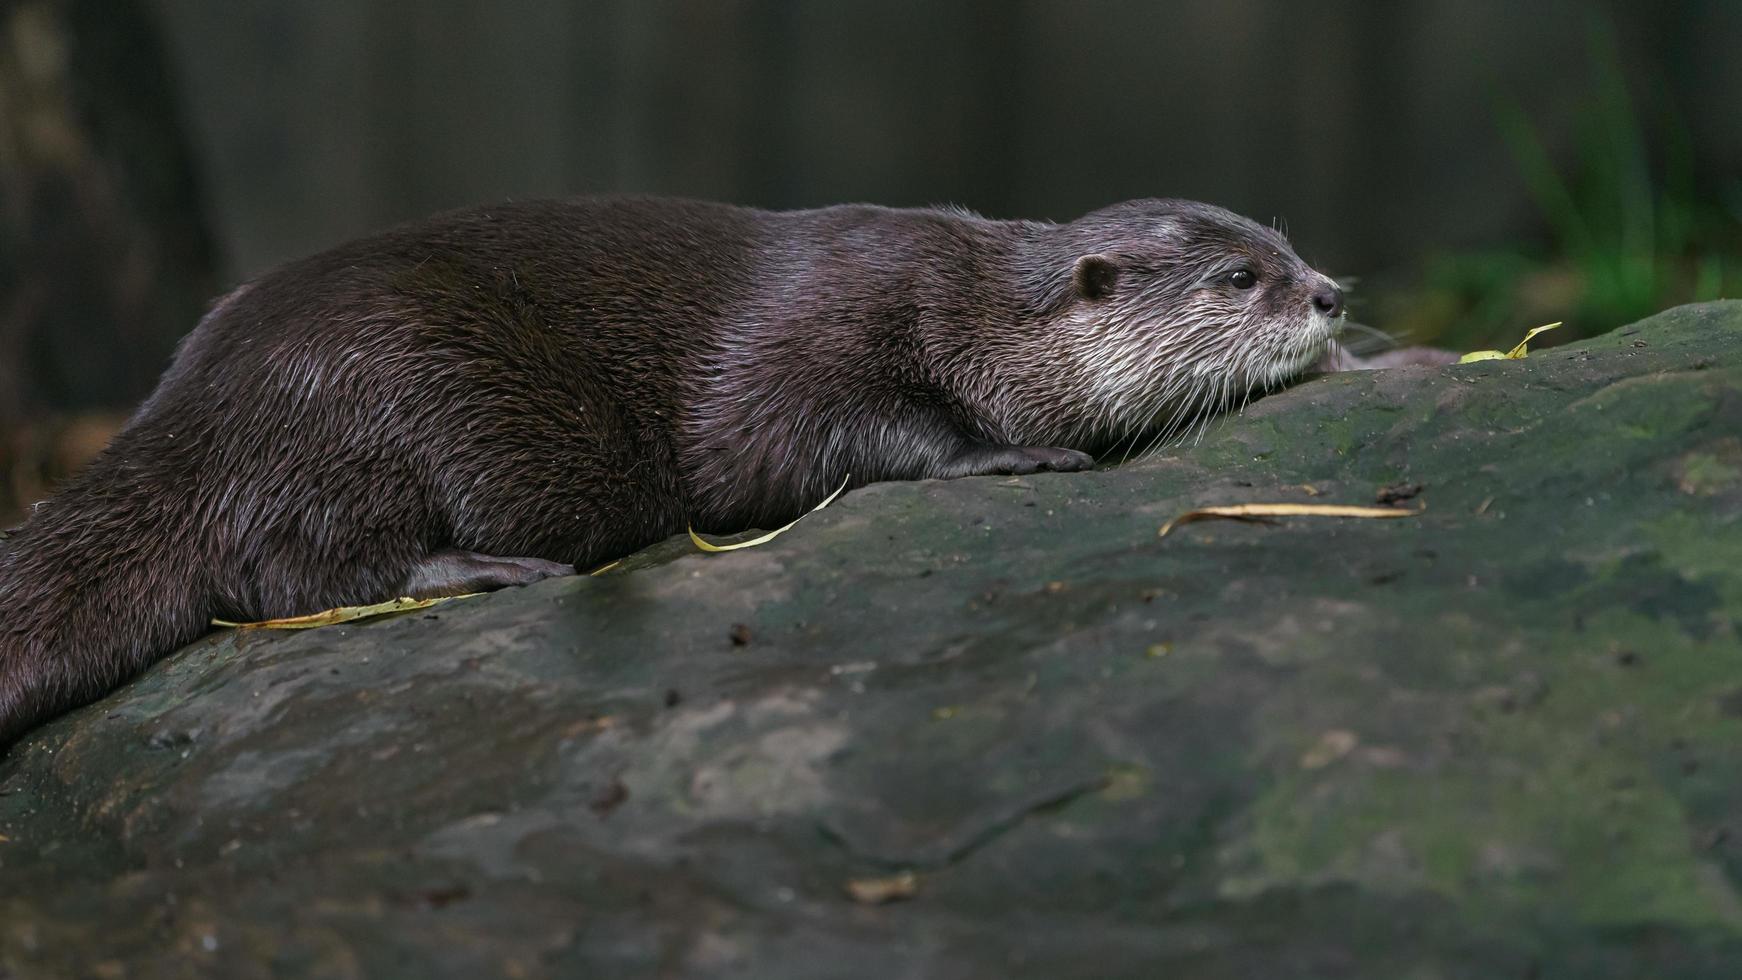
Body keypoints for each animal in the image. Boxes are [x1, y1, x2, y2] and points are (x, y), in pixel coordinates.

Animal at [0, 195, 1344, 741]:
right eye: (1238, 278)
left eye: (1283, 246)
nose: (1329, 293)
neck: (967, 307)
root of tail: (189, 402)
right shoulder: (802, 350)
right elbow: (810, 440)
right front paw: (1016, 448)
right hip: (377, 392)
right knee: (289, 569)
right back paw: (484, 567)